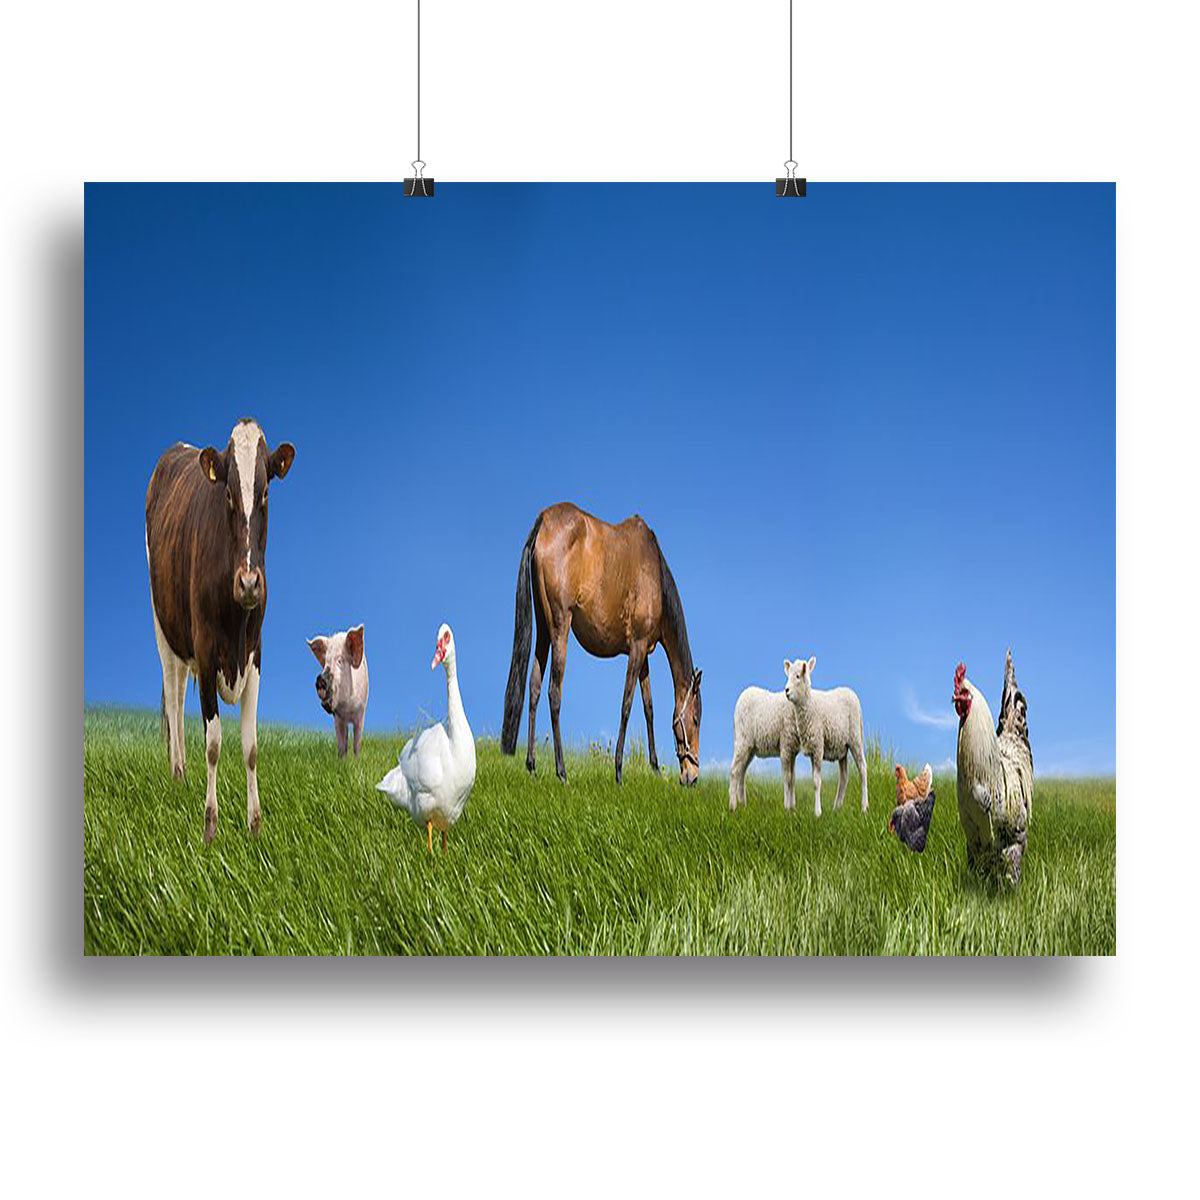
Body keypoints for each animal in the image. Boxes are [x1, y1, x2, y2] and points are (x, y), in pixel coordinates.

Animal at [145, 419, 295, 843]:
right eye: (227, 493)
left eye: (265, 492)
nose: (249, 583)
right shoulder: (208, 653)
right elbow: (213, 743)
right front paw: (210, 824)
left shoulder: (255, 654)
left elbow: (251, 745)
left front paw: (254, 823)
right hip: (164, 626)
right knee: (174, 698)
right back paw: (178, 774)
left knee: (179, 692)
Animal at [729, 656, 869, 817]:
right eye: (788, 675)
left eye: (798, 676)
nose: (786, 690)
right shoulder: (788, 746)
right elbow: (789, 779)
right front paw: (789, 808)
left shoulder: (802, 747)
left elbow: (801, 779)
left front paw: (802, 810)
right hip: (744, 742)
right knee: (736, 771)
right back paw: (735, 807)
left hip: (854, 739)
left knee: (860, 769)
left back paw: (862, 807)